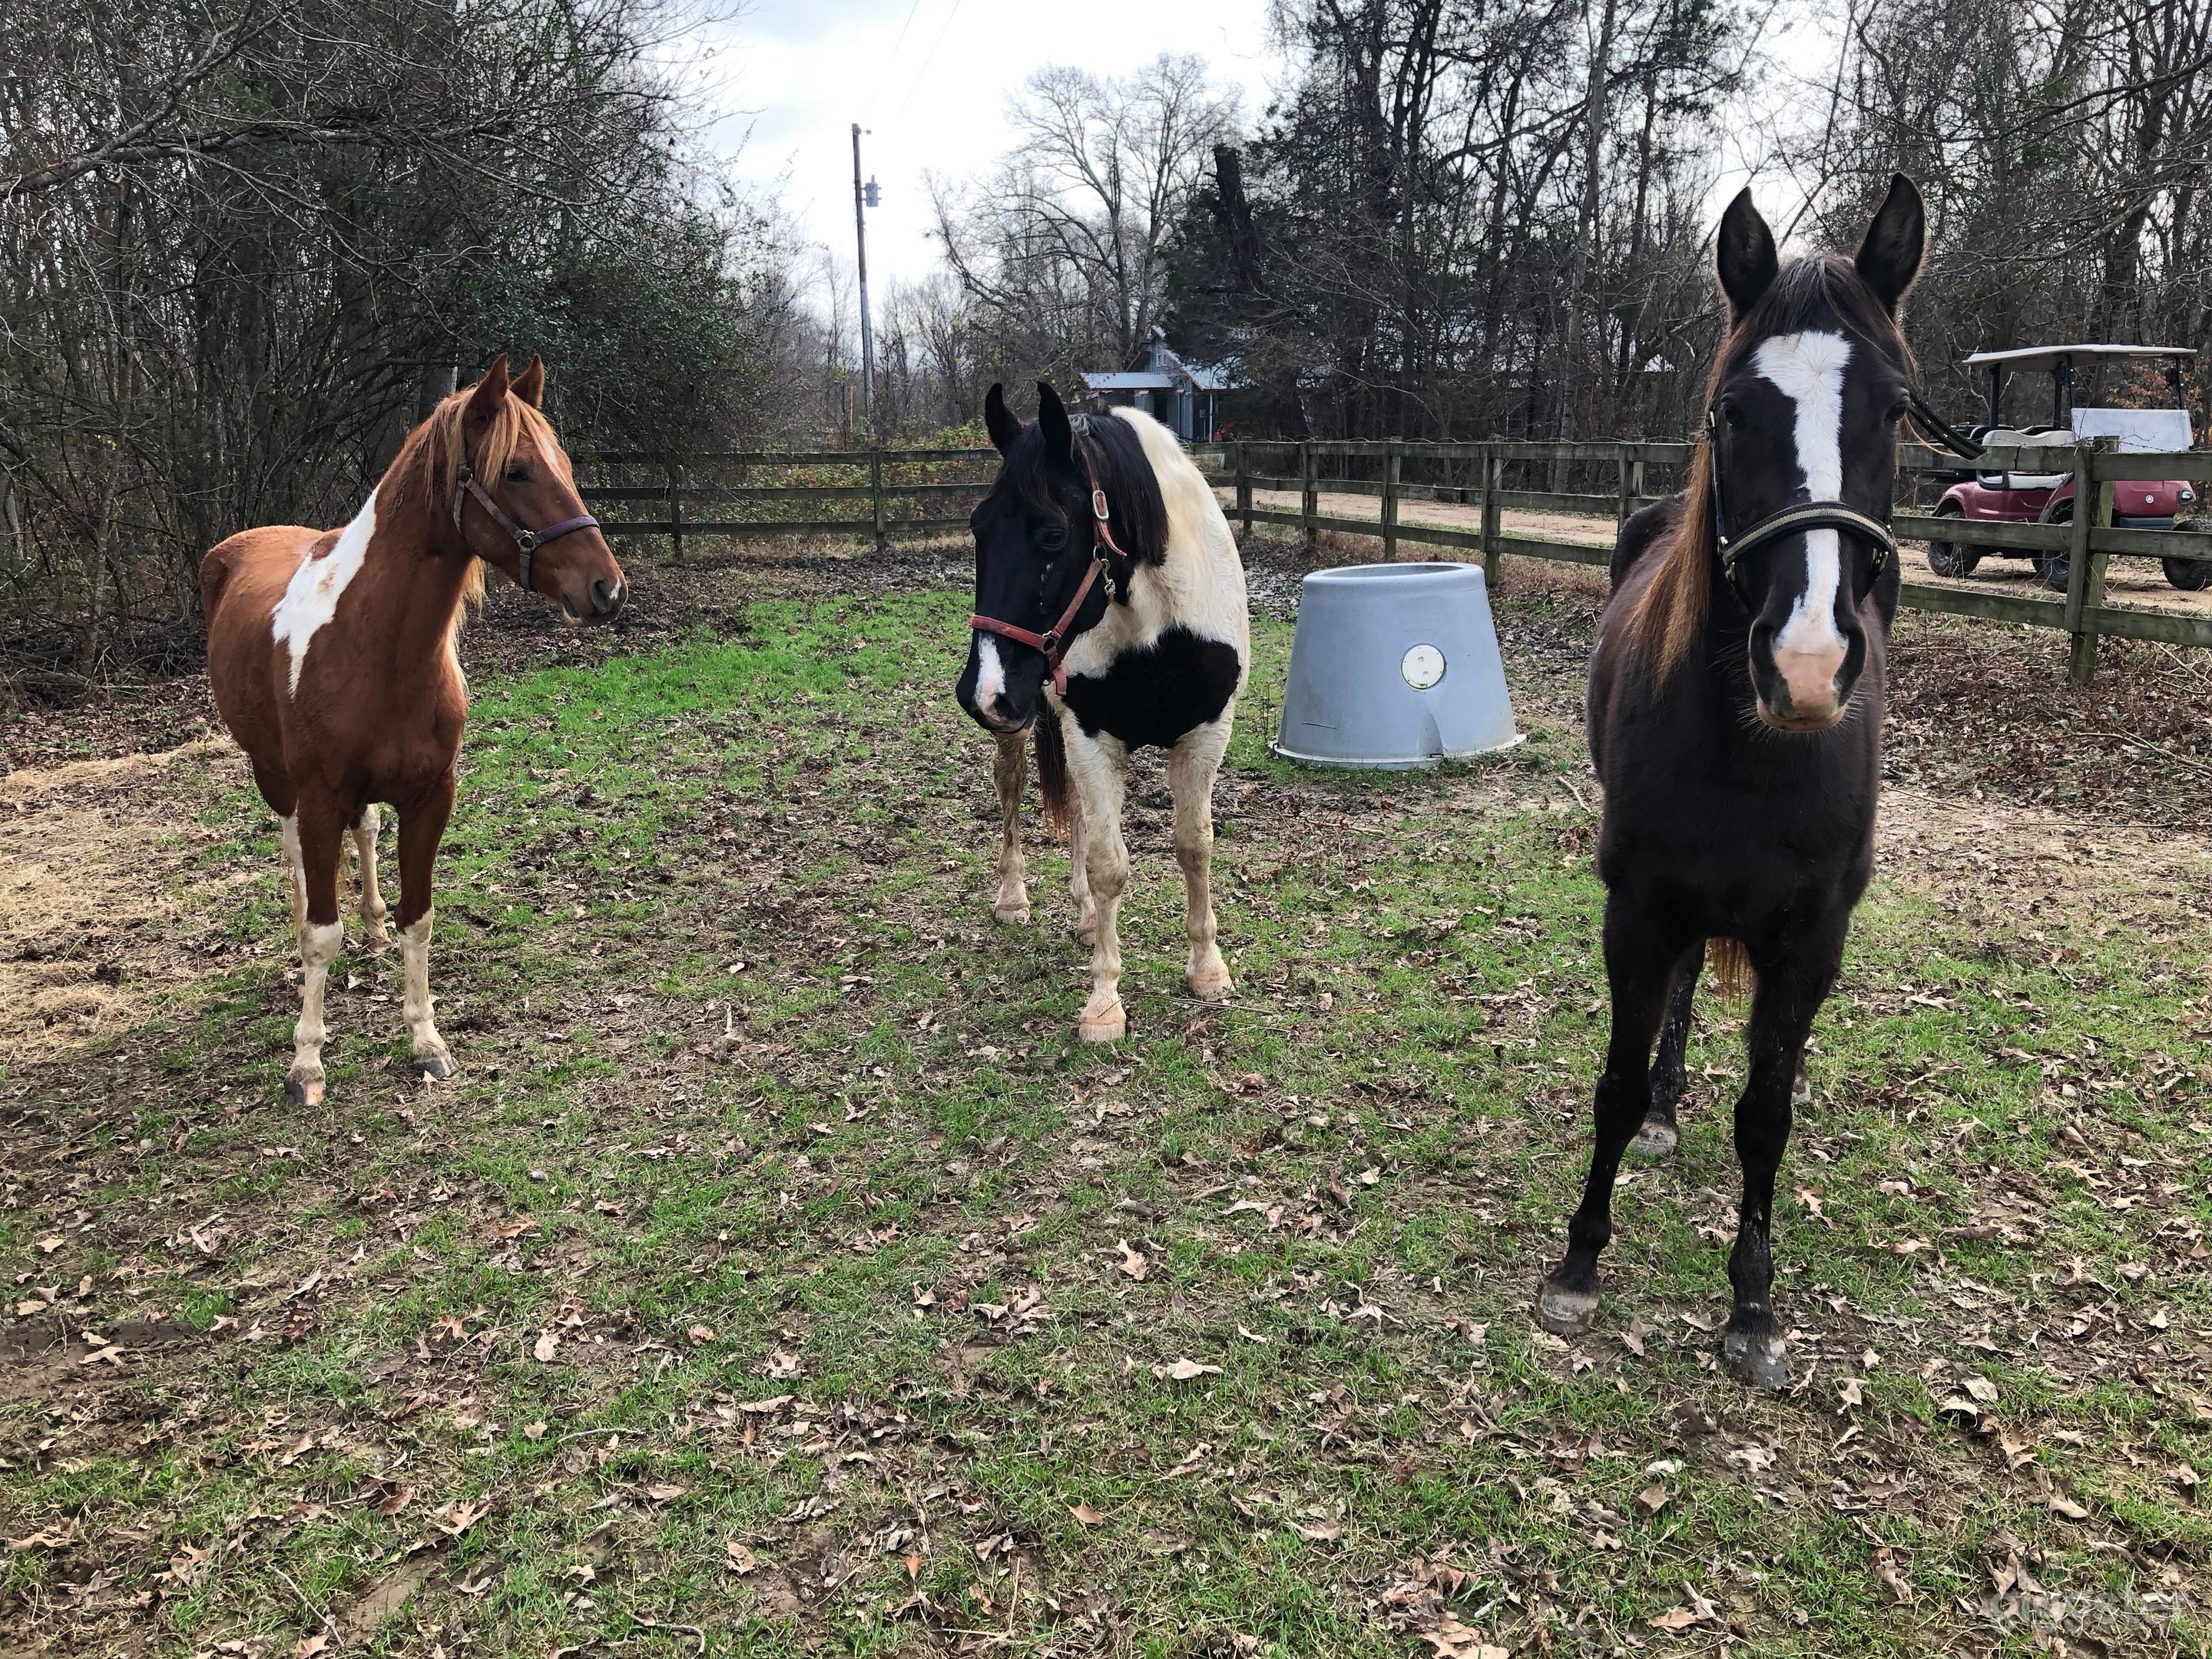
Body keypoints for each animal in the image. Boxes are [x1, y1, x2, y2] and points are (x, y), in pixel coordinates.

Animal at [202, 354, 626, 1105]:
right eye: (516, 470)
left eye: (566, 465)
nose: (607, 589)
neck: (374, 645)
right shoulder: (319, 798)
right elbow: (321, 932)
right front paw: (306, 1062)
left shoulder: (431, 797)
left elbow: (418, 916)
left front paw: (426, 1039)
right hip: (273, 775)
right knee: (293, 855)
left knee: (366, 833)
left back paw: (370, 925)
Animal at [956, 381, 1249, 1042]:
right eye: (979, 528)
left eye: (1051, 536)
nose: (981, 692)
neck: (1159, 628)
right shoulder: (1090, 734)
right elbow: (1109, 864)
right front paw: (1104, 1003)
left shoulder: (1205, 735)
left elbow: (1194, 846)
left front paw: (1208, 970)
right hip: (1028, 725)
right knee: (1013, 786)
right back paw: (1014, 897)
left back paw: (1088, 917)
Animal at [1534, 177, 1927, 1388]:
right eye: (1733, 412)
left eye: (1896, 411)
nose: (1803, 663)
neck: (1757, 752)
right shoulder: (1639, 907)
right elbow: (1615, 1081)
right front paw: (1578, 1264)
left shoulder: (1811, 940)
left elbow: (1767, 1118)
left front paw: (1752, 1307)